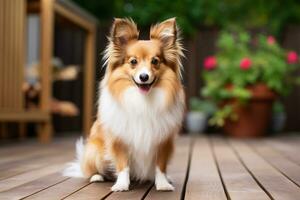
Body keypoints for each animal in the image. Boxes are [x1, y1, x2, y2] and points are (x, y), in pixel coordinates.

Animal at [63, 18, 185, 191]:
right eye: (133, 61)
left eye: (155, 61)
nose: (143, 76)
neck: (143, 100)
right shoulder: (120, 140)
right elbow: (123, 165)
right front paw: (121, 185)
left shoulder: (163, 142)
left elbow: (160, 166)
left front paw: (162, 184)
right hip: (94, 151)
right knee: (93, 171)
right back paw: (97, 177)